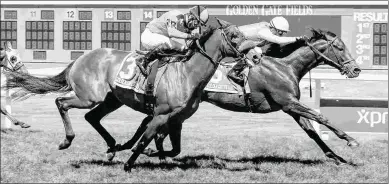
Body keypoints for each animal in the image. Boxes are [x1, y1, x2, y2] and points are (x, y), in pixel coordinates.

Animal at [3, 19, 246, 172]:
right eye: (234, 36)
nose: (249, 55)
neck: (186, 72)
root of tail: (80, 58)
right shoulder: (161, 114)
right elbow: (145, 139)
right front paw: (129, 164)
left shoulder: (176, 119)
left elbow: (174, 148)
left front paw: (151, 153)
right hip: (89, 97)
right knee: (61, 102)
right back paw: (67, 140)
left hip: (112, 100)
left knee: (92, 117)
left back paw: (112, 146)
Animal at [123, 28, 360, 166]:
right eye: (340, 47)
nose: (356, 70)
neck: (285, 66)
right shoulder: (288, 102)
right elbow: (321, 117)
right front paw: (351, 140)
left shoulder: (291, 107)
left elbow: (312, 132)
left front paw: (336, 157)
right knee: (155, 129)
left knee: (155, 129)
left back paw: (149, 152)